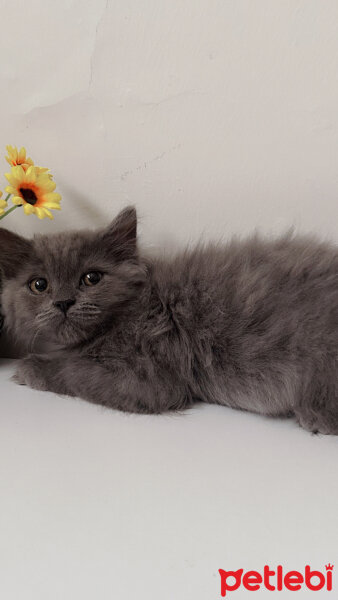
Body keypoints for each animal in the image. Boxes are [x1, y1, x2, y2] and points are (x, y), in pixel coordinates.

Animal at [1, 205, 338, 432]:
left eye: (91, 278)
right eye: (39, 285)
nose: (63, 302)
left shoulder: (149, 375)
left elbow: (73, 370)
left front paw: (30, 367)